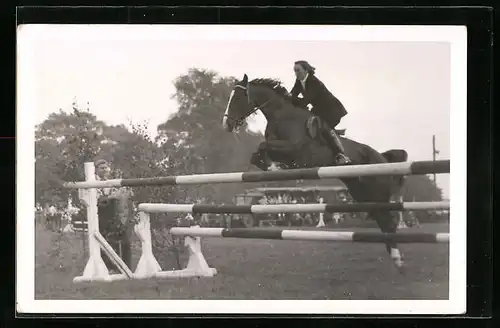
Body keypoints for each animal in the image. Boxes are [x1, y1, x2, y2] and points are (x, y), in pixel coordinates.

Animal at [223, 74, 410, 274]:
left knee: (388, 221)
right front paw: (274, 166)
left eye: (238, 98)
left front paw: (275, 167)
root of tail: (382, 157)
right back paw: (396, 259)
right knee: (382, 219)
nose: (227, 124)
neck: (281, 115)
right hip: (362, 193)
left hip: (377, 191)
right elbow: (257, 154)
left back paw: (398, 259)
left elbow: (263, 146)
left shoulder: (295, 149)